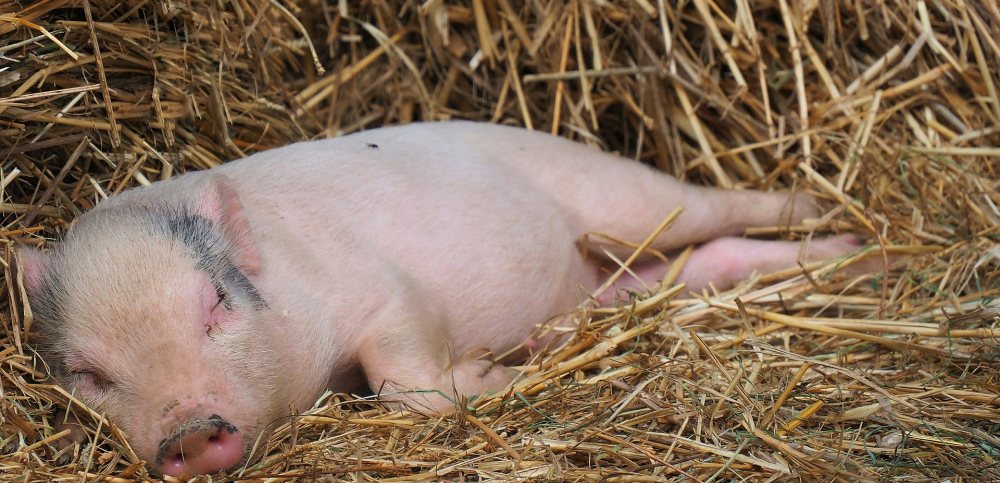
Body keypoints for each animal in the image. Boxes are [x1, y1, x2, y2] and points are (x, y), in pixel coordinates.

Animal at [18, 121, 860, 476]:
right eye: (88, 372)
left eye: (217, 301)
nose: (189, 430)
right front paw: (508, 366)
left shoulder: (387, 294)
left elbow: (402, 376)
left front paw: (493, 373)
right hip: (623, 276)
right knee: (699, 262)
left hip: (621, 193)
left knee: (716, 208)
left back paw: (835, 223)